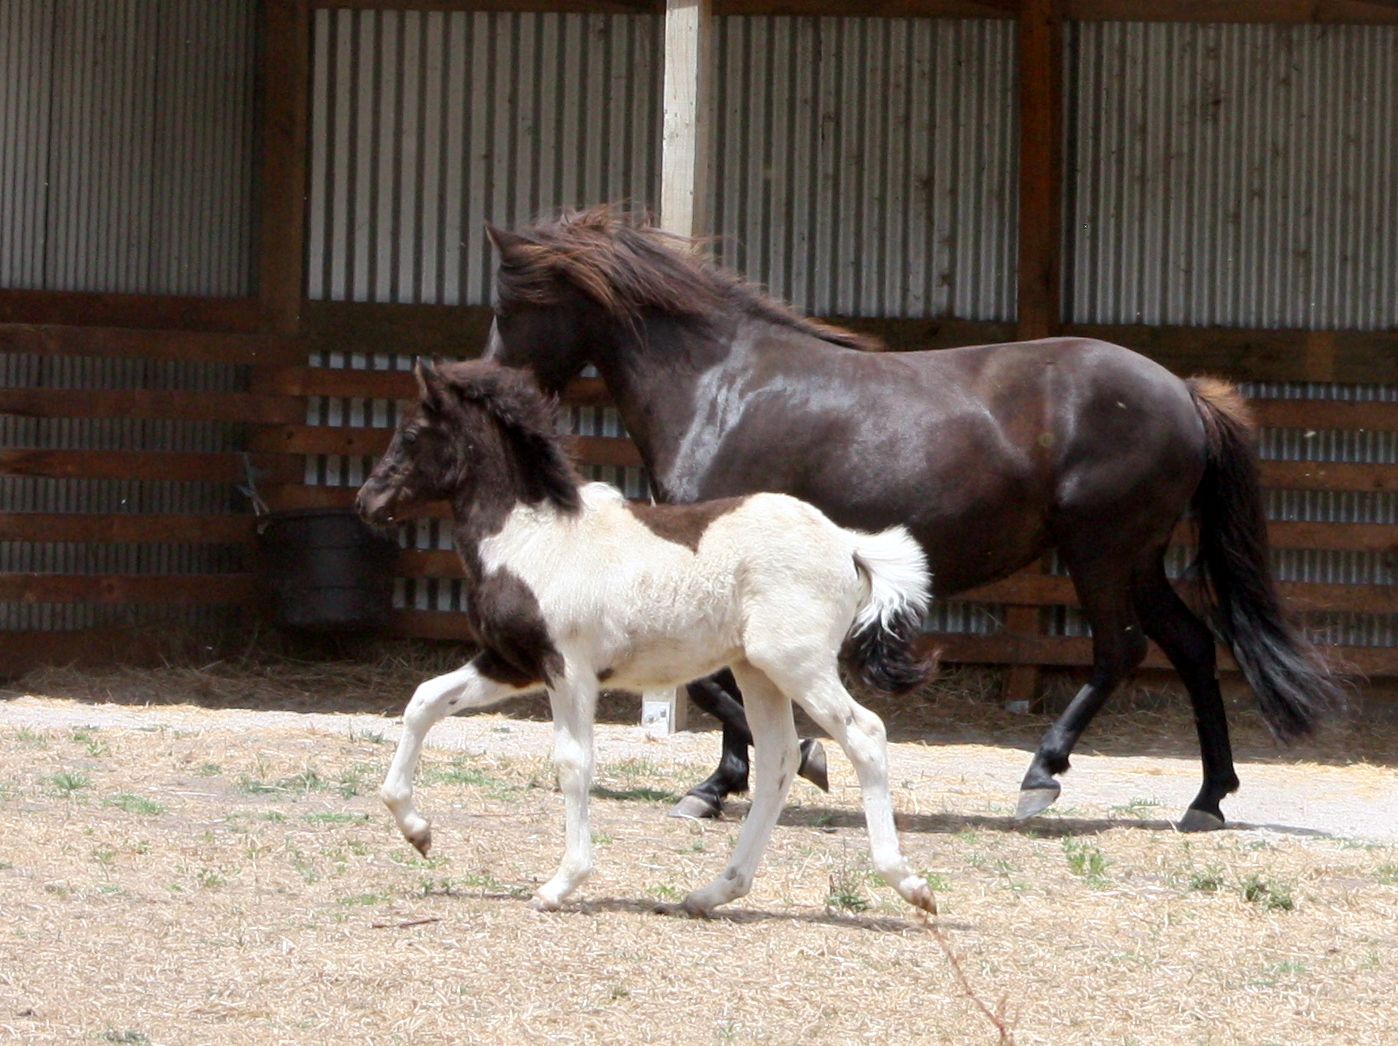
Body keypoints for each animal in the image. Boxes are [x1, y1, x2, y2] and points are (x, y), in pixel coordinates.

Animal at [355, 360, 933, 917]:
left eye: (410, 434)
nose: (367, 501)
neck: (532, 539)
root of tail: (847, 544)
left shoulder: (568, 670)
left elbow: (573, 763)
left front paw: (560, 884)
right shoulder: (511, 662)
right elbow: (424, 701)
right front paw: (417, 832)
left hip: (797, 663)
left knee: (864, 733)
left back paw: (909, 885)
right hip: (758, 671)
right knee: (780, 758)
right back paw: (713, 892)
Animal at [480, 206, 1342, 833]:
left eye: (512, 304)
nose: (490, 389)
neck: (718, 385)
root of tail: (1183, 393)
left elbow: (725, 679)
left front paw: (785, 763)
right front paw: (735, 779)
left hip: (1101, 551)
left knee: (1120, 651)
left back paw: (1043, 778)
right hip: (1136, 557)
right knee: (1192, 647)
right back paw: (1206, 800)